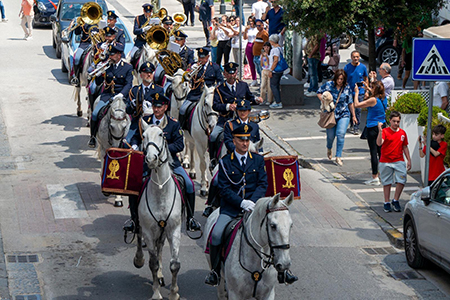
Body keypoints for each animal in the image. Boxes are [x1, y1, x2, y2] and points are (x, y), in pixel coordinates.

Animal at [134, 122, 182, 300]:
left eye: (161, 134)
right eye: (144, 136)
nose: (151, 159)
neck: (161, 191)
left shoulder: (174, 229)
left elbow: (174, 264)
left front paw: (174, 293)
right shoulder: (148, 231)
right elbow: (152, 263)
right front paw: (156, 293)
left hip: (162, 231)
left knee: (160, 248)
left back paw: (161, 276)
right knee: (139, 236)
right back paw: (139, 259)